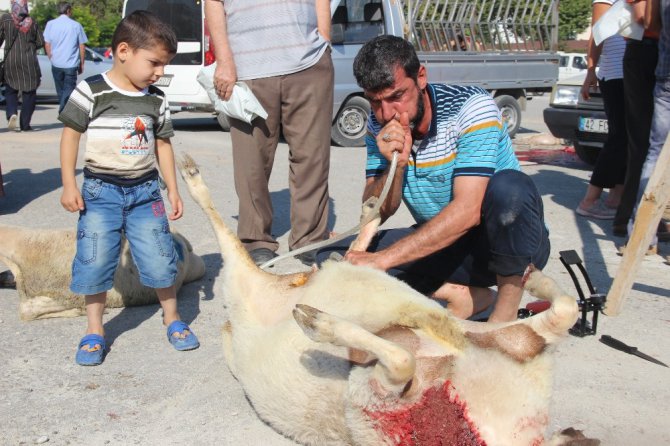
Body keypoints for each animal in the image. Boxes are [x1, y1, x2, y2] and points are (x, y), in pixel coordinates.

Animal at [178, 153, 600, 446]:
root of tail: (283, 283)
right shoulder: (512, 342)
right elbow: (563, 310)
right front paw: (539, 278)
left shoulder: (378, 397)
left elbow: (401, 359)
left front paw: (318, 322)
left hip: (242, 295)